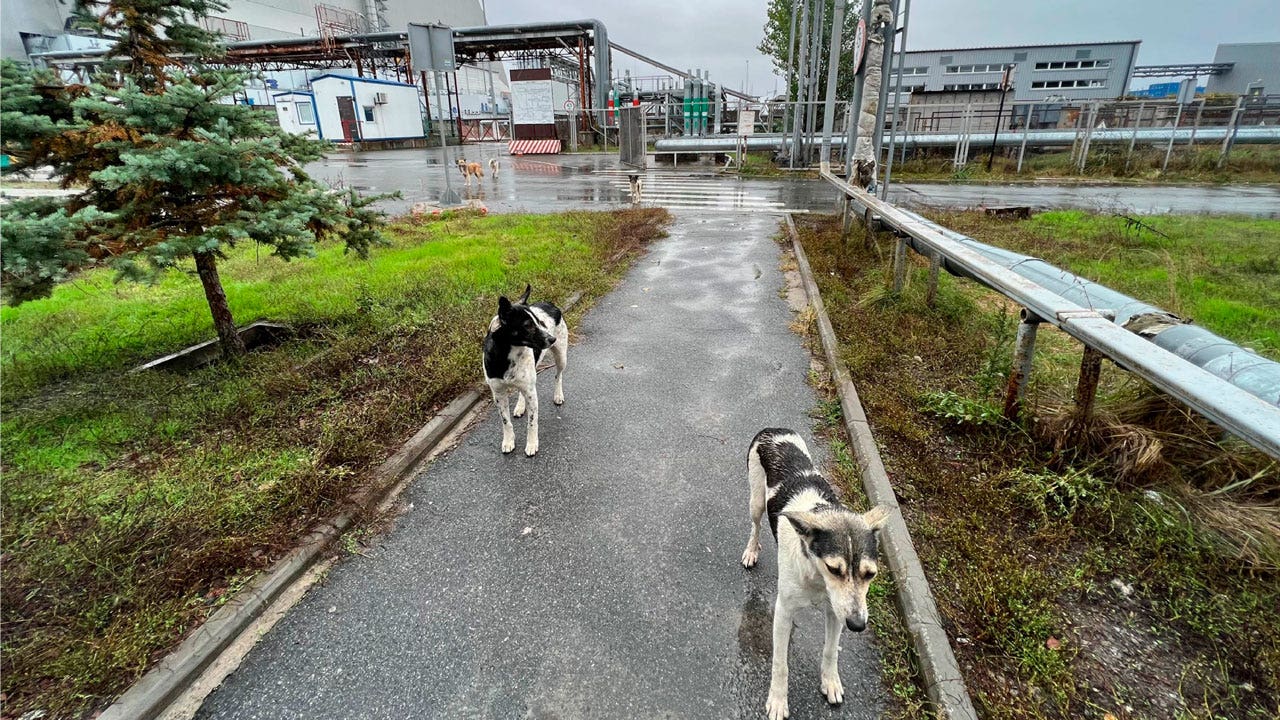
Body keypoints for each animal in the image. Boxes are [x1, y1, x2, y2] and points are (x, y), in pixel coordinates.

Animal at [481, 281, 568, 453]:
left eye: (540, 322)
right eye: (527, 326)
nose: (552, 339)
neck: (506, 354)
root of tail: (551, 304)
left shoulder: (531, 392)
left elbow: (532, 422)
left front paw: (532, 443)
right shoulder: (498, 393)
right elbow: (505, 421)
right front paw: (508, 440)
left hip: (561, 357)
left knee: (558, 375)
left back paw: (558, 395)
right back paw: (521, 407)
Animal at [742, 425, 890, 717]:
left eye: (870, 574)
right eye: (834, 568)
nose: (858, 626)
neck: (817, 576)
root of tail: (773, 428)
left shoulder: (837, 612)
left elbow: (831, 651)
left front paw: (830, 682)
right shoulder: (783, 610)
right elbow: (780, 664)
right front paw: (778, 700)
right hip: (756, 500)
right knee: (755, 525)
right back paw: (752, 550)